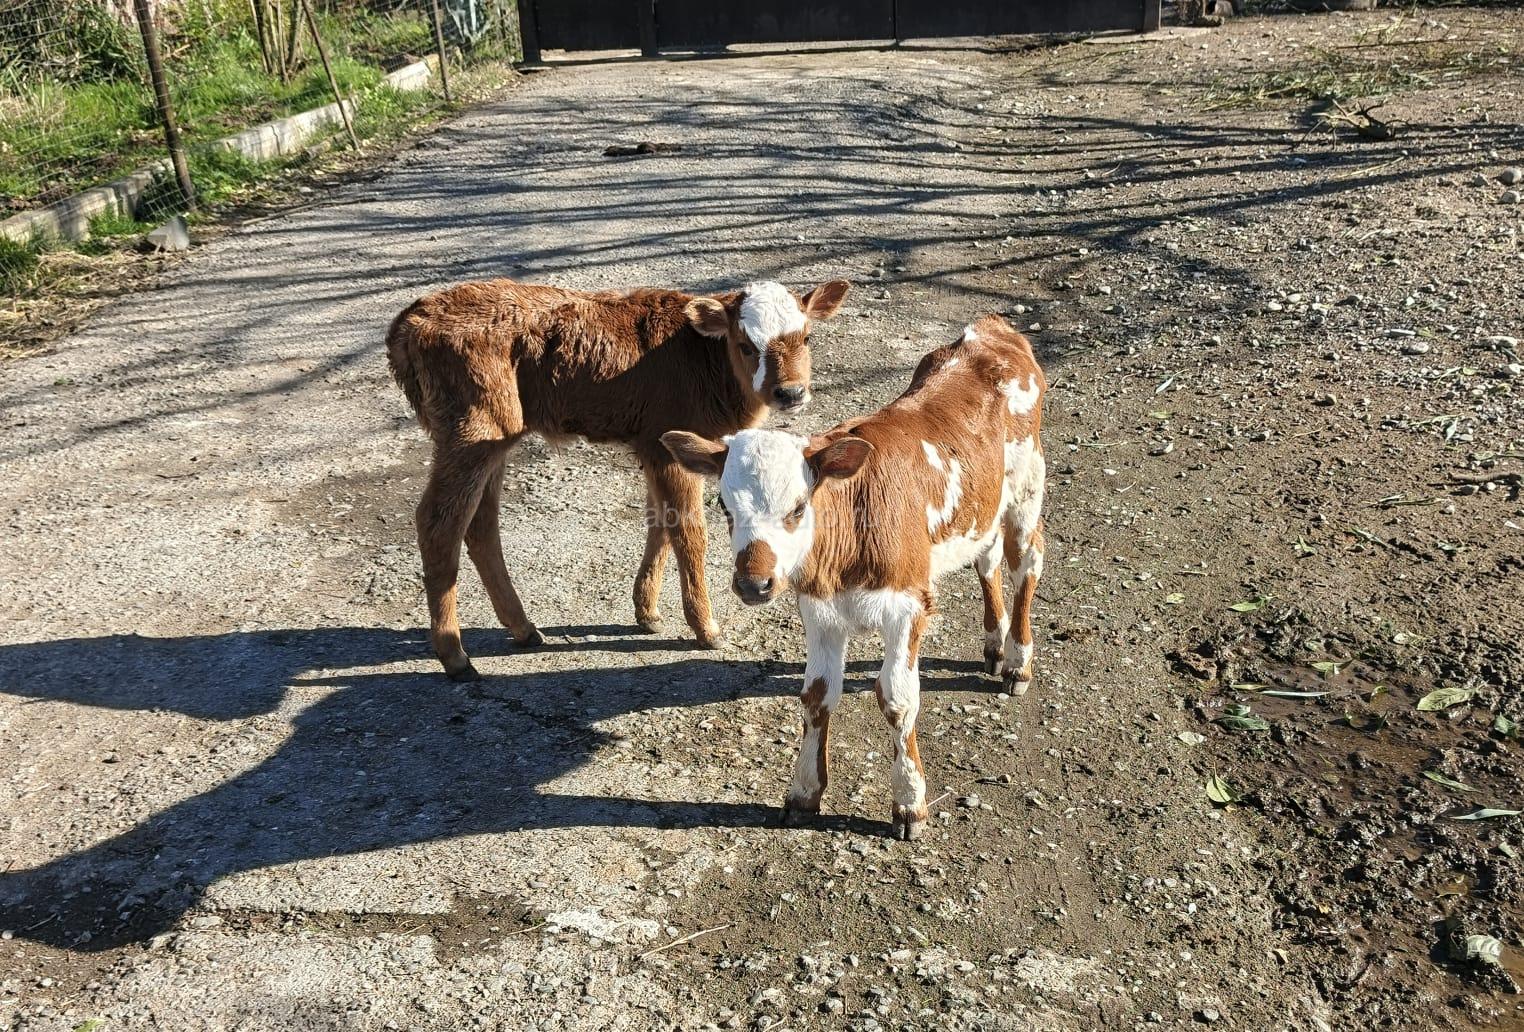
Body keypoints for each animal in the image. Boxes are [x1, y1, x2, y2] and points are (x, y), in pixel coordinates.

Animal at [386, 277, 852, 681]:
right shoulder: (669, 443)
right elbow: (689, 531)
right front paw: (706, 627)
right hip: (472, 429)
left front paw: (647, 611)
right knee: (439, 523)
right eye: (746, 346)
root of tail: (411, 320)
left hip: (496, 436)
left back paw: (522, 629)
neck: (701, 359)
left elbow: (659, 522)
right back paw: (455, 655)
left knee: (481, 524)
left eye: (806, 337)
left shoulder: (653, 446)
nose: (791, 393)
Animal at [662, 314, 1046, 840]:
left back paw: (1017, 662)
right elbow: (817, 694)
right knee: (986, 561)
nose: (753, 584)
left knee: (1026, 562)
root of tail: (991, 330)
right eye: (723, 505)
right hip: (981, 506)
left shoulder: (908, 603)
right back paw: (993, 644)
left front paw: (910, 803)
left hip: (1027, 488)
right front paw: (803, 792)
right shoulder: (820, 609)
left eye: (798, 508)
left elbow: (898, 697)